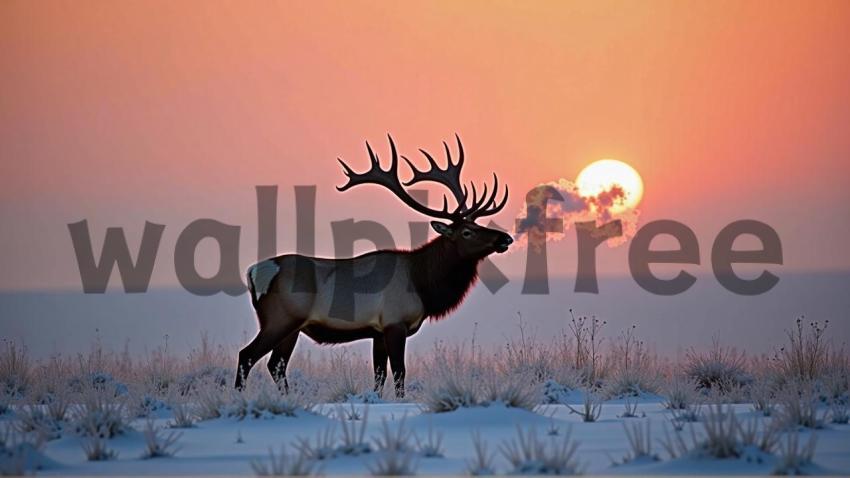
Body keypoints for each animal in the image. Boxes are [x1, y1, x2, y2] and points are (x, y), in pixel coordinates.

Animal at [232, 134, 510, 396]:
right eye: (467, 232)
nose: (505, 238)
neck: (423, 284)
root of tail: (253, 272)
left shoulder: (377, 331)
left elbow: (379, 375)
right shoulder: (394, 322)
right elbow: (399, 373)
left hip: (292, 327)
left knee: (276, 365)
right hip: (280, 319)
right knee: (247, 356)